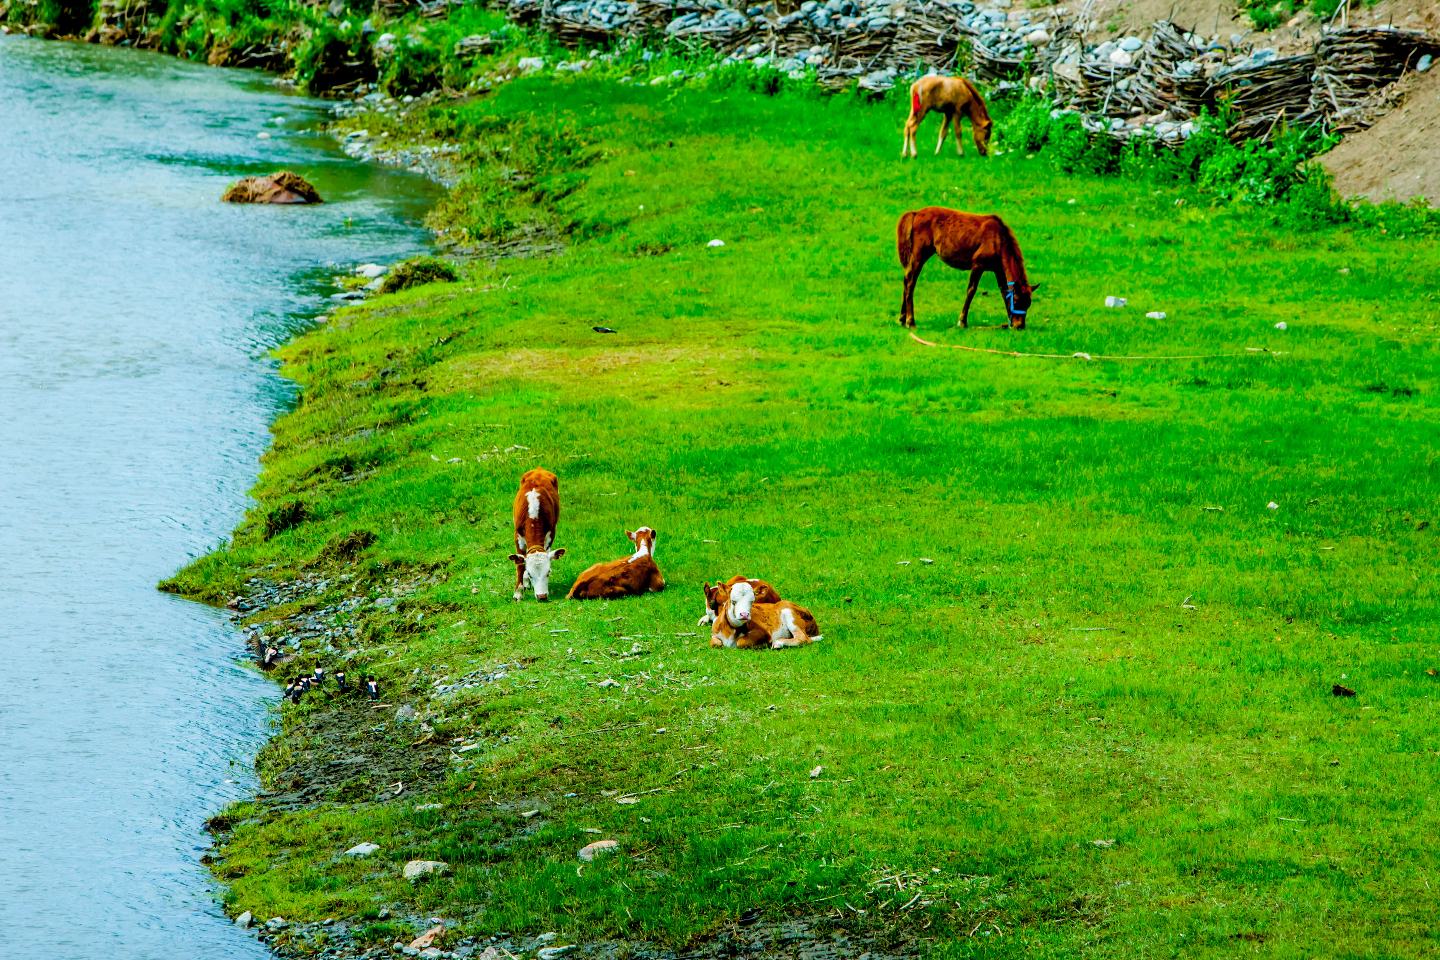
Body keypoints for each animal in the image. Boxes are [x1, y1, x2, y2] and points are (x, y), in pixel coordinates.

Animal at [509, 466, 564, 601]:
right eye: (530, 573)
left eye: (548, 572)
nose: (542, 596)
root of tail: (539, 469)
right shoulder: (517, 535)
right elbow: (520, 564)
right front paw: (518, 592)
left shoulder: (550, 533)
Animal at [892, 207, 1042, 331]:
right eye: (1016, 301)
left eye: (1028, 303)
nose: (1019, 326)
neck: (998, 239)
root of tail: (916, 213)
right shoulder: (978, 264)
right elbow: (971, 291)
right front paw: (962, 321)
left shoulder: (998, 269)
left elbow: (1004, 291)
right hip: (920, 254)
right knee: (910, 283)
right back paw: (911, 322)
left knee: (906, 279)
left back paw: (902, 319)